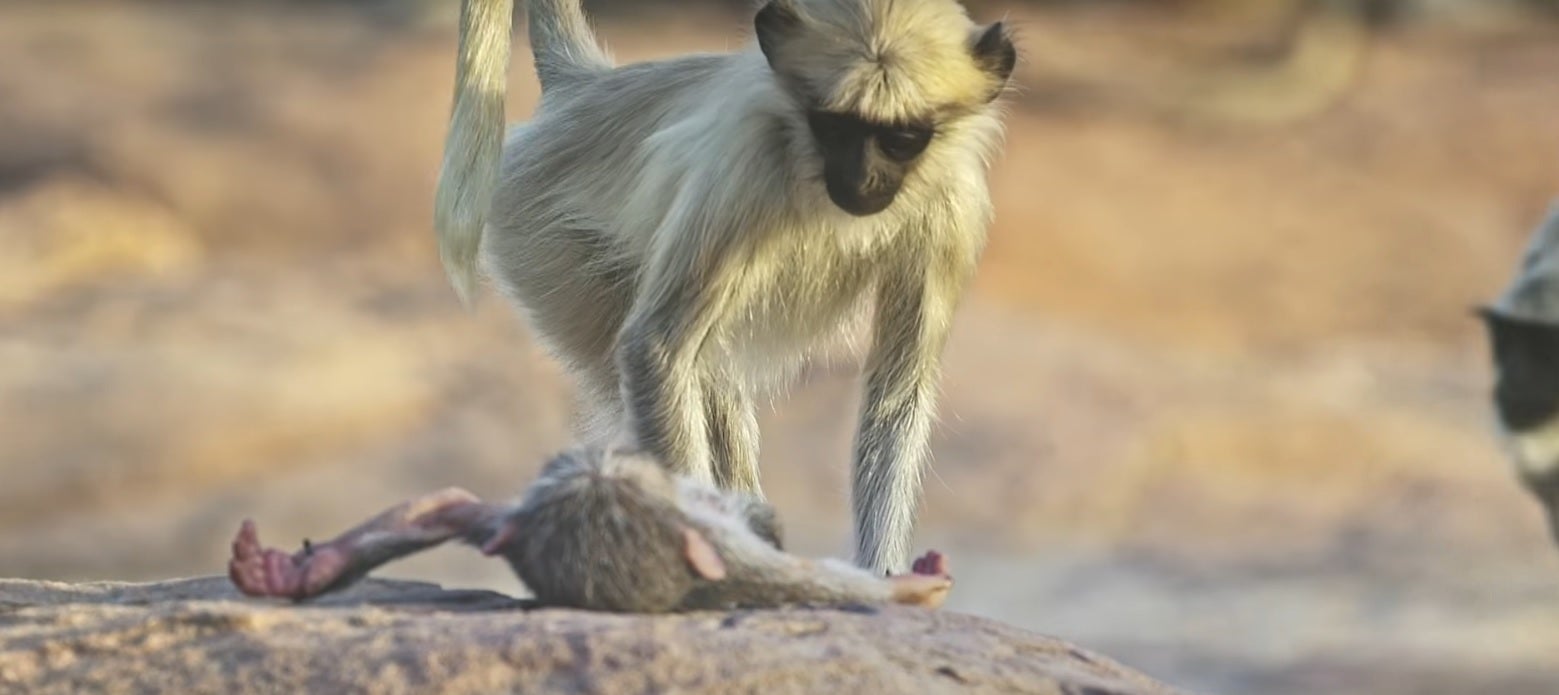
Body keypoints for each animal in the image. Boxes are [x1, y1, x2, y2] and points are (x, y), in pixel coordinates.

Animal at [430, 0, 1017, 575]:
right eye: (836, 128)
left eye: (900, 139)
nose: (862, 179)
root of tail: (587, 86)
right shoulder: (747, 170)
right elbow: (656, 351)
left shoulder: (954, 204)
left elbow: (896, 392)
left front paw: (880, 572)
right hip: (545, 243)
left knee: (712, 379)